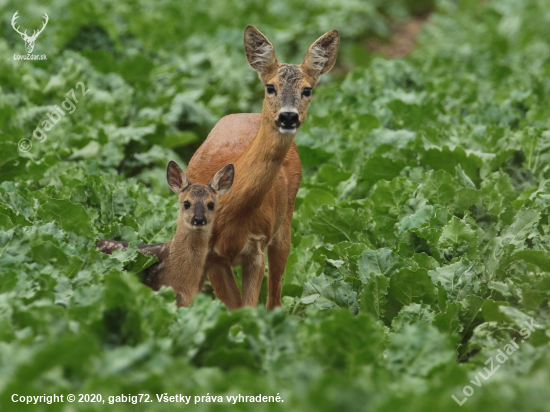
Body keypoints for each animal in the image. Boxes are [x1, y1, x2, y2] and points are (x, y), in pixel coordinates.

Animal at [185, 25, 340, 308]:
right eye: (270, 87)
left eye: (307, 90)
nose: (288, 116)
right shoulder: (210, 256)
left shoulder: (256, 247)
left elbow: (248, 308)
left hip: (285, 224)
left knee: (275, 297)